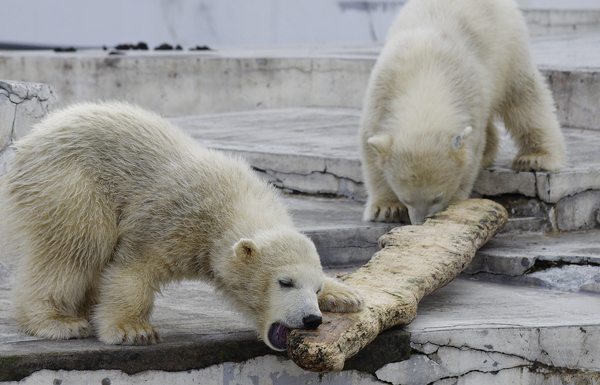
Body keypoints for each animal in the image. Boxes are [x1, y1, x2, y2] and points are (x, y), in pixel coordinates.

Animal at [1, 102, 366, 352]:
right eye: (285, 282)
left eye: (316, 289)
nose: (311, 319)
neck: (232, 202)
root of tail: (29, 141)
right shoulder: (173, 217)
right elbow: (132, 268)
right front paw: (134, 330)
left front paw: (348, 295)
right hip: (69, 184)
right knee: (76, 247)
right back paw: (57, 321)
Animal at [360, 0, 568, 224]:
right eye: (405, 198)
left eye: (438, 197)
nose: (420, 221)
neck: (425, 75)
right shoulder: (381, 94)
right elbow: (370, 150)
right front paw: (386, 208)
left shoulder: (468, 91)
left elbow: (470, 155)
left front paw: (456, 202)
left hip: (510, 47)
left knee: (525, 98)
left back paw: (534, 158)